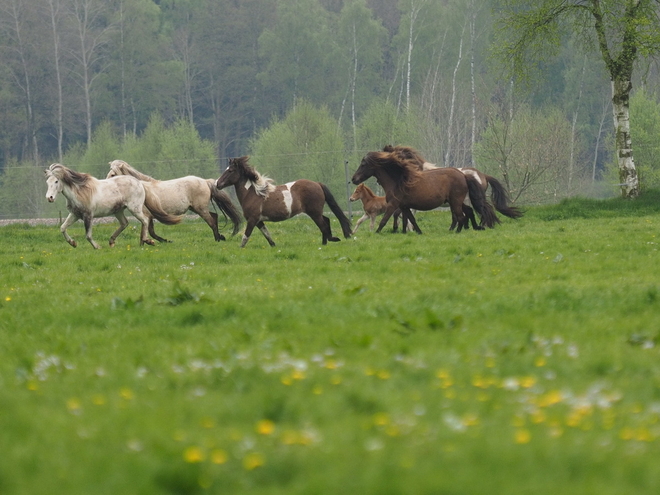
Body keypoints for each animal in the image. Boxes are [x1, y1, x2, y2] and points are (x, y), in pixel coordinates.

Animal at [45, 162, 182, 248]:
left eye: (56, 181)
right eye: (47, 182)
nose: (49, 198)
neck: (79, 191)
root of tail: (139, 182)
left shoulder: (88, 215)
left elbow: (88, 235)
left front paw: (97, 247)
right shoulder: (75, 214)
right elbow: (62, 228)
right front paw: (73, 243)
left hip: (135, 208)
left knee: (145, 220)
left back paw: (146, 240)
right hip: (118, 211)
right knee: (125, 223)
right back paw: (113, 241)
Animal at [107, 160, 241, 243]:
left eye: (113, 174)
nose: (105, 184)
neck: (142, 188)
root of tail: (205, 181)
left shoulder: (147, 215)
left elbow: (151, 232)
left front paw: (165, 241)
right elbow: (151, 232)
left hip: (200, 209)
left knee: (211, 221)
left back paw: (218, 238)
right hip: (196, 208)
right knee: (214, 216)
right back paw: (220, 237)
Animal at [217, 156, 354, 247]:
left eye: (230, 171)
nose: (218, 184)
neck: (253, 193)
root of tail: (317, 184)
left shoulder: (252, 219)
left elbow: (246, 236)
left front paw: (240, 248)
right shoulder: (259, 220)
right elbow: (266, 234)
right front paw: (274, 245)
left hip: (314, 212)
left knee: (323, 224)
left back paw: (331, 240)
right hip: (315, 212)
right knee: (325, 221)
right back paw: (324, 243)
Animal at [350, 151, 496, 234]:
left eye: (363, 164)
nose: (353, 179)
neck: (398, 180)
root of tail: (464, 175)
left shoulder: (393, 204)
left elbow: (384, 220)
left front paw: (377, 233)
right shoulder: (404, 206)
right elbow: (411, 220)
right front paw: (417, 232)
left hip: (455, 202)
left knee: (461, 217)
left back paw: (458, 231)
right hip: (457, 201)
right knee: (467, 213)